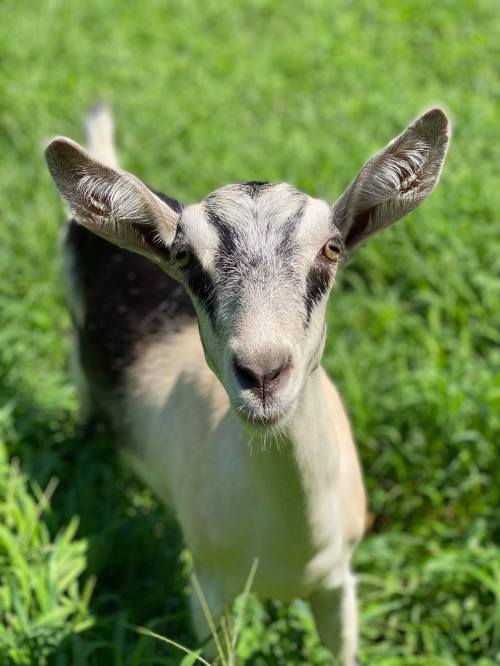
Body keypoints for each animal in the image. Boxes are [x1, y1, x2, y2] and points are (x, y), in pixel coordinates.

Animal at [45, 105, 450, 664]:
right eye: (185, 259)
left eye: (332, 248)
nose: (263, 374)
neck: (291, 548)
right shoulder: (207, 591)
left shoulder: (338, 585)